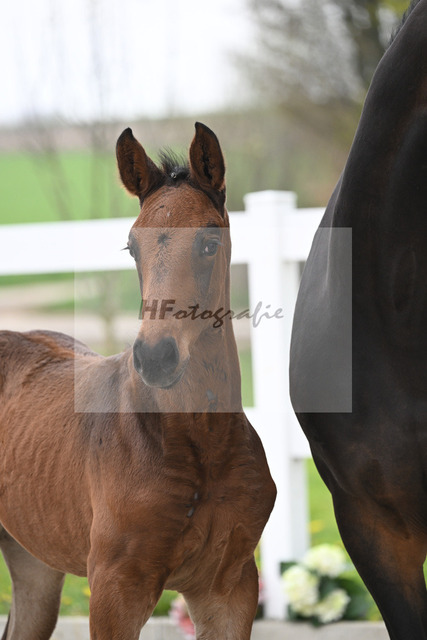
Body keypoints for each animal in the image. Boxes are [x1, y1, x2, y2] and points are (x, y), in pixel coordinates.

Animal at [0, 123, 276, 640]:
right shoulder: (115, 589)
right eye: (132, 246)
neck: (197, 443)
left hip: (34, 565)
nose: (155, 356)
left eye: (209, 242)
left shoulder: (229, 587)